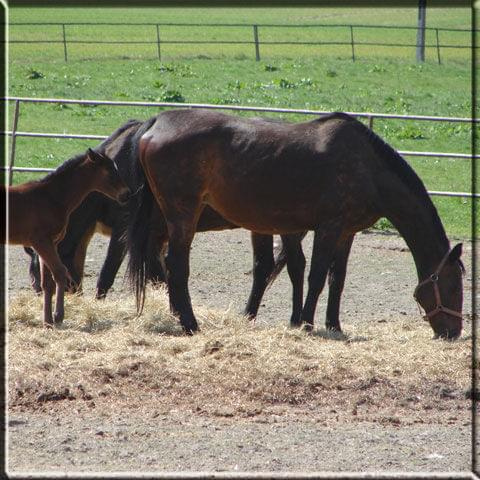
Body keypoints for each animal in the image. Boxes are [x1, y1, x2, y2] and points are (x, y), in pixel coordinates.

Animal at [2, 147, 130, 326]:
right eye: (110, 172)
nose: (127, 194)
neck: (51, 198)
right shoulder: (41, 242)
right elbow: (61, 272)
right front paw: (58, 316)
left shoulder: (50, 243)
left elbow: (48, 282)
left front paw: (48, 321)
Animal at [125, 110, 464, 340]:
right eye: (453, 285)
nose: (453, 332)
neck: (367, 166)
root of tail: (157, 122)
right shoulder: (328, 228)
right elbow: (316, 276)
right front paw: (307, 323)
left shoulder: (346, 233)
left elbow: (336, 279)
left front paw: (333, 325)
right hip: (183, 215)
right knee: (176, 264)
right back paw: (190, 323)